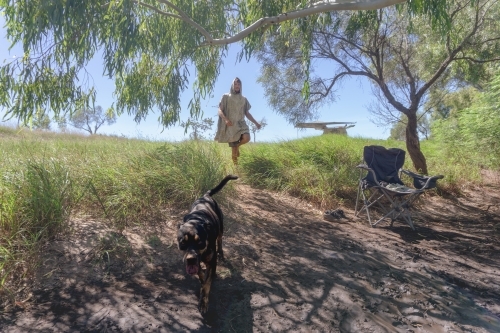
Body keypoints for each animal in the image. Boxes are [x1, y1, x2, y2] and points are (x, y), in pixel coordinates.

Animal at [177, 174, 237, 314]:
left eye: (199, 242)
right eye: (183, 243)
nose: (190, 259)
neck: (195, 221)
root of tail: (206, 196)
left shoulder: (211, 262)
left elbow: (206, 284)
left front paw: (203, 303)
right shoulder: (196, 262)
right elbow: (200, 274)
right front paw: (201, 277)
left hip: (221, 229)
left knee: (220, 241)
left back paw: (221, 253)